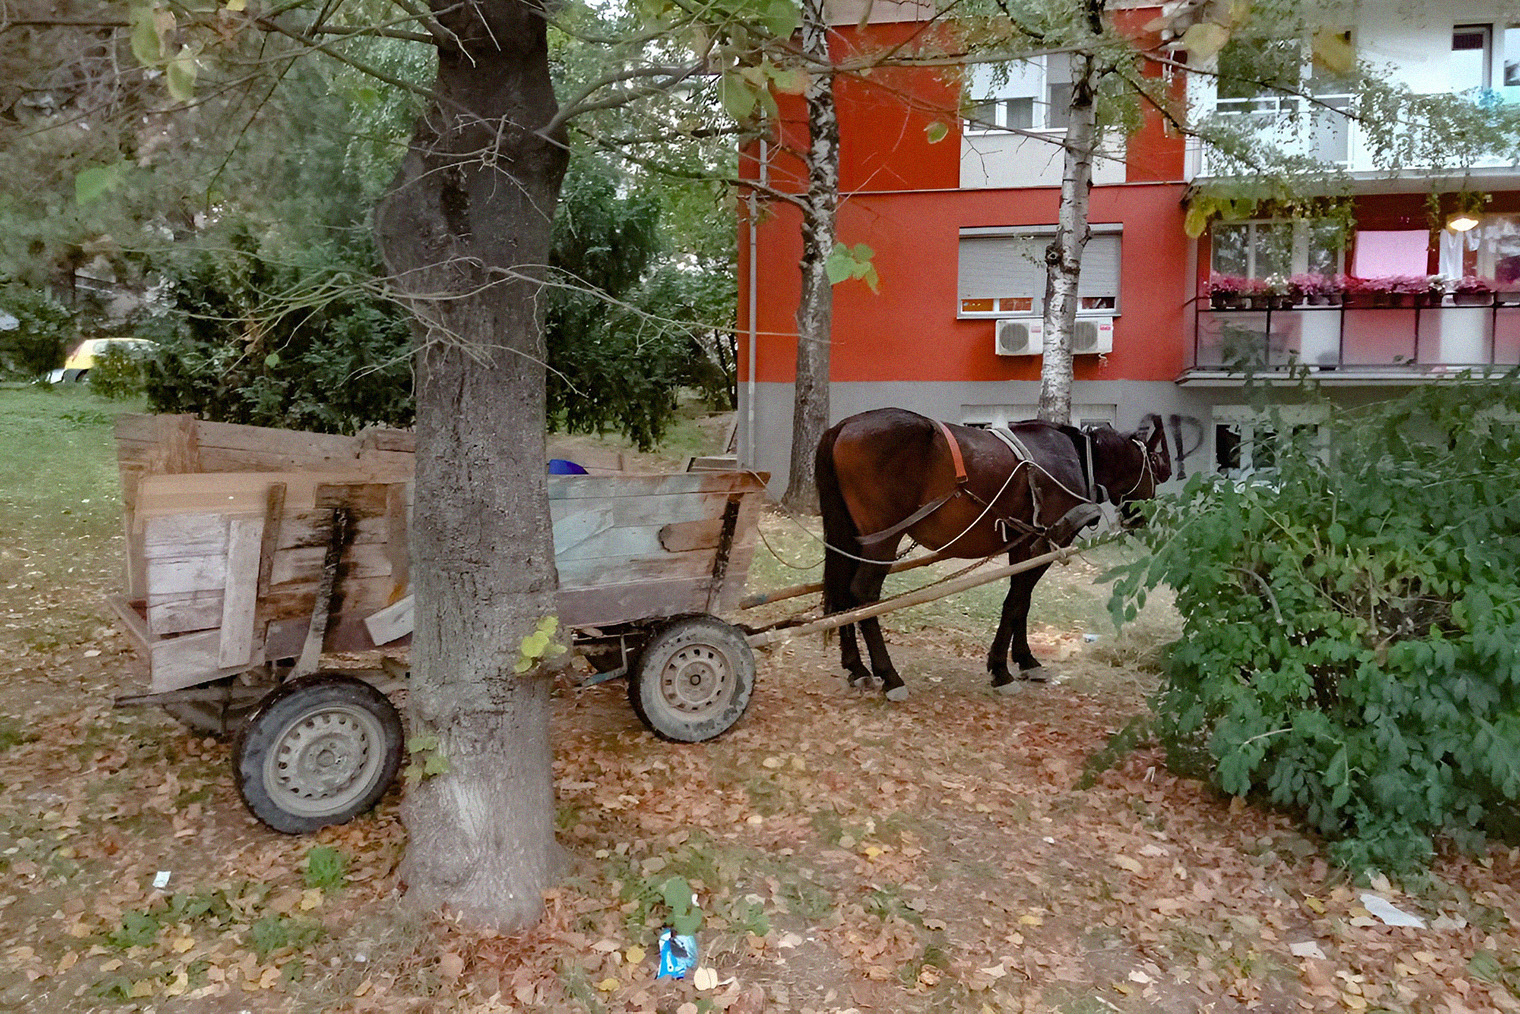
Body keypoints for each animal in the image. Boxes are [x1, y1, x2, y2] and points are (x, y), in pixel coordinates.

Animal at [814, 407, 1167, 702]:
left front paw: (1024, 659)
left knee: (842, 593)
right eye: (1155, 467)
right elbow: (1017, 600)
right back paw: (890, 676)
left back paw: (857, 668)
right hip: (883, 538)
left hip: (853, 537)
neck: (1080, 457)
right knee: (863, 593)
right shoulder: (1044, 541)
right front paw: (1001, 668)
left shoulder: (1023, 543)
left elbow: (1022, 601)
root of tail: (843, 426)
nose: (1141, 517)